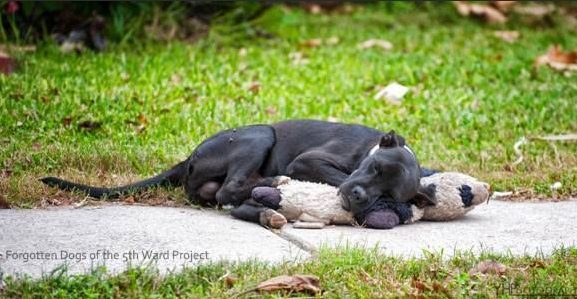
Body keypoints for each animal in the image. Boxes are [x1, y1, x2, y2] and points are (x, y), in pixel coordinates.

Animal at [41, 119, 432, 225]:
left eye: (389, 192)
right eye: (374, 168)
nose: (360, 196)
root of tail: (189, 157)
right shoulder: (308, 162)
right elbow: (335, 178)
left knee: (229, 195)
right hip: (259, 135)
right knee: (229, 190)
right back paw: (274, 184)